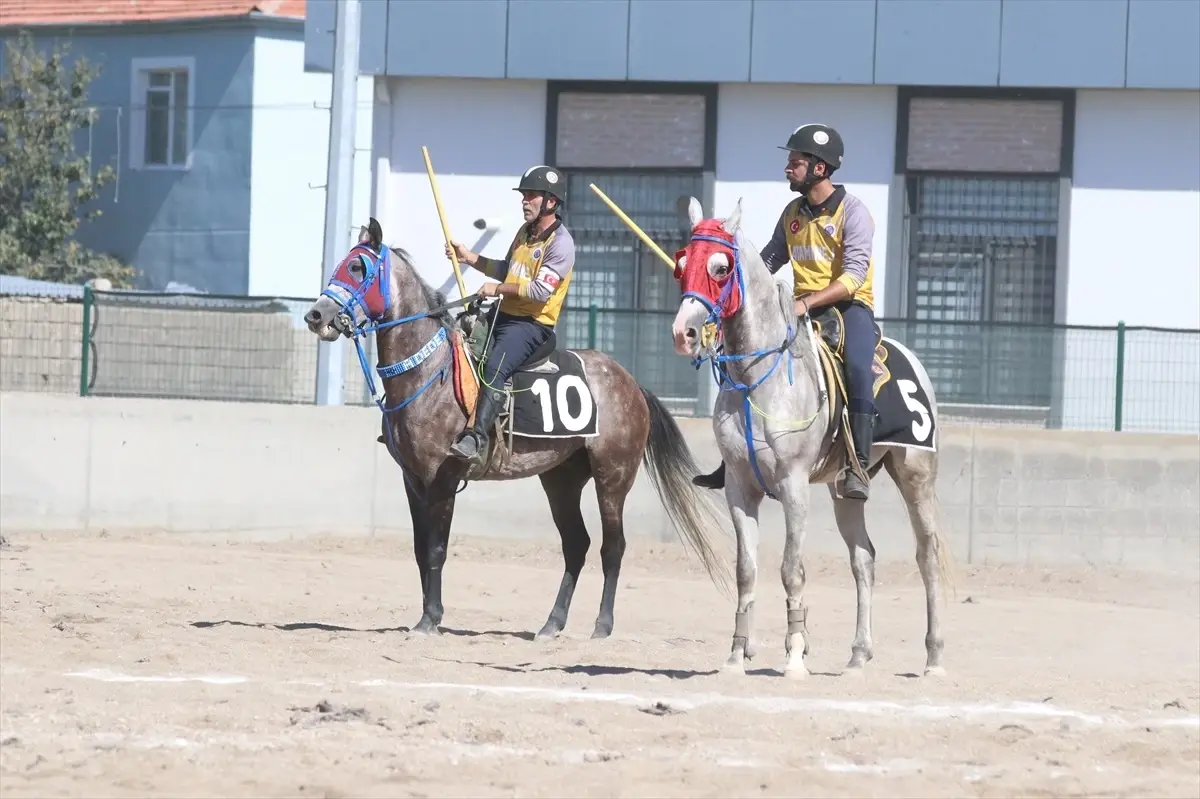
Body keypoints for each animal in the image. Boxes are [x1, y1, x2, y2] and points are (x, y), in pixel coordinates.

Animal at [302, 219, 729, 643]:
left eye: (357, 267)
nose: (316, 316)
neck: (430, 370)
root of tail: (632, 384)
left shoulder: (443, 479)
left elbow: (437, 550)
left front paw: (431, 618)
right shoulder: (413, 479)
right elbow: (421, 550)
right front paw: (425, 616)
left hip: (613, 477)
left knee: (613, 547)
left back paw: (602, 626)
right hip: (561, 479)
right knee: (576, 545)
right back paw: (552, 623)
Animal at [672, 195, 950, 676]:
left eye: (721, 268)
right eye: (682, 262)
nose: (684, 333)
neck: (759, 377)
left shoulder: (794, 485)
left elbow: (791, 569)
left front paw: (795, 655)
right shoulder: (739, 488)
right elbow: (746, 570)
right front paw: (736, 655)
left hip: (916, 476)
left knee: (926, 552)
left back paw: (933, 657)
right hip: (845, 491)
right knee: (864, 559)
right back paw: (858, 654)